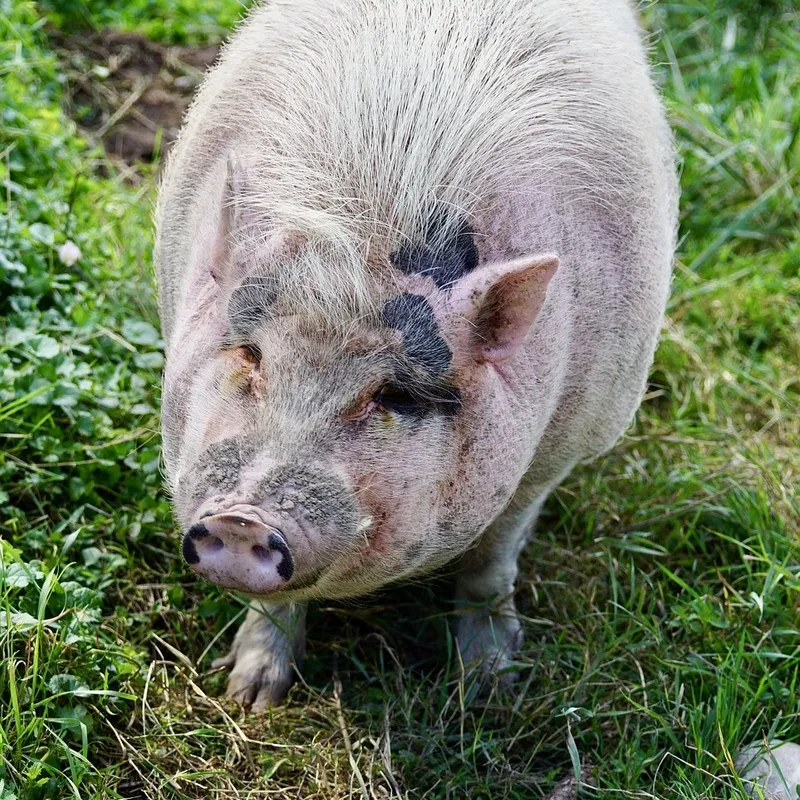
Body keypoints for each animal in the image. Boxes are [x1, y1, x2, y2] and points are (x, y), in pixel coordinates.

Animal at [154, 0, 678, 710]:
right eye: (251, 354)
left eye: (393, 395)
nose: (242, 521)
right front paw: (249, 697)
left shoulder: (560, 451)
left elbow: (492, 558)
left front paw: (489, 688)